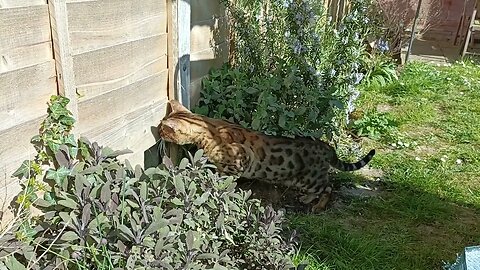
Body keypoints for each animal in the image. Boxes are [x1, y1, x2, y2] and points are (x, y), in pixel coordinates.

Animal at [159, 100, 376, 212]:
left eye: (162, 128)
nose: (158, 132)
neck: (206, 128)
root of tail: (327, 147)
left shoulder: (240, 160)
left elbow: (224, 179)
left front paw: (218, 186)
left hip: (310, 179)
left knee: (328, 187)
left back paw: (316, 205)